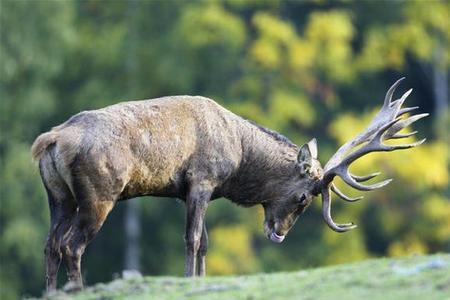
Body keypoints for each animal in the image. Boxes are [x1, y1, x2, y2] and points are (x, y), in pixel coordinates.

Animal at [30, 78, 426, 292]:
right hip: (99, 194)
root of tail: (51, 139)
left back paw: (53, 292)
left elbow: (205, 242)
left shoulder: (192, 191)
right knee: (72, 246)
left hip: (58, 196)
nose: (279, 234)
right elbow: (192, 239)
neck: (237, 156)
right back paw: (77, 289)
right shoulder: (201, 180)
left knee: (50, 245)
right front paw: (189, 281)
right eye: (302, 198)